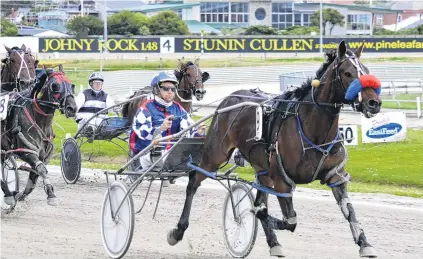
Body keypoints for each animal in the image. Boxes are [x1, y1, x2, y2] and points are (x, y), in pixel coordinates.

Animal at [0, 65, 78, 209]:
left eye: (72, 85)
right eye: (55, 86)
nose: (72, 108)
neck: (39, 120)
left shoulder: (43, 155)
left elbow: (36, 174)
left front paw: (20, 195)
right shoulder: (26, 151)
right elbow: (41, 169)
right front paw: (51, 195)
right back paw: (7, 194)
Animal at [167, 41, 382, 258]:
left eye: (366, 71)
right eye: (347, 73)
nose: (374, 103)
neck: (313, 127)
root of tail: (229, 98)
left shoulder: (334, 175)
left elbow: (348, 210)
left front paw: (364, 243)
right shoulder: (281, 180)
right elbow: (288, 220)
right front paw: (256, 216)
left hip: (262, 167)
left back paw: (272, 242)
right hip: (215, 154)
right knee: (193, 181)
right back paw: (178, 231)